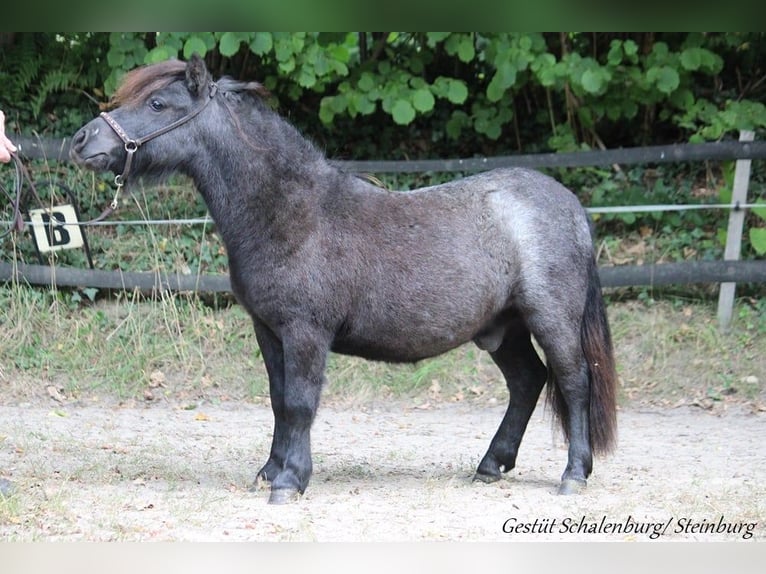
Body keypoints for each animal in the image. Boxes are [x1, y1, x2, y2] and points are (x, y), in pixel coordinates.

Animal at [70, 54, 617, 505]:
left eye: (158, 102)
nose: (81, 141)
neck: (290, 212)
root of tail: (570, 206)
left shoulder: (305, 332)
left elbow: (299, 402)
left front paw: (290, 481)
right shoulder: (269, 331)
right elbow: (278, 400)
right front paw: (270, 471)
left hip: (550, 319)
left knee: (573, 381)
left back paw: (573, 475)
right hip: (502, 329)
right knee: (528, 382)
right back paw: (490, 465)